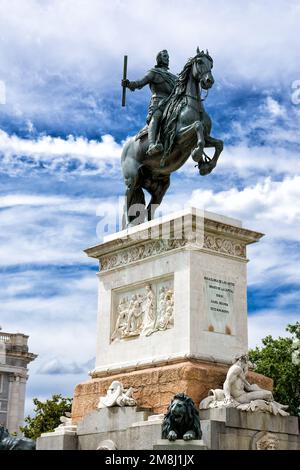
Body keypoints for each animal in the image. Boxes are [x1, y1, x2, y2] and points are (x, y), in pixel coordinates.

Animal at [121, 49, 223, 228]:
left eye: (211, 64)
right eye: (200, 62)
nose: (208, 81)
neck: (193, 105)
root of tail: (126, 148)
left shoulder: (207, 137)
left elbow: (218, 144)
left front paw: (207, 166)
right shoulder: (178, 138)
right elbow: (198, 126)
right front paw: (197, 154)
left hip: (159, 186)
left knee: (149, 209)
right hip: (132, 179)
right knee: (128, 199)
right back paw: (129, 227)